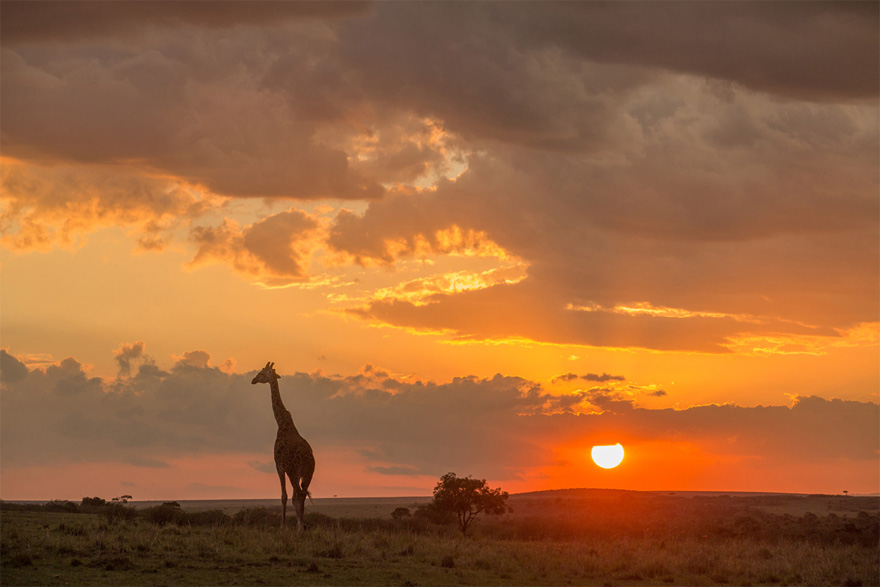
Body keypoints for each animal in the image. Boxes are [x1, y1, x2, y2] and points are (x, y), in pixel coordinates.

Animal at [249, 360, 314, 532]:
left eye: (262, 373)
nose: (253, 380)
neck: (282, 423)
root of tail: (306, 457)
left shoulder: (279, 465)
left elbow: (284, 496)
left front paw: (282, 526)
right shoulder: (292, 471)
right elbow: (290, 497)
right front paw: (294, 524)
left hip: (293, 471)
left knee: (298, 494)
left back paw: (300, 527)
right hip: (308, 473)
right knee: (302, 493)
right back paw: (301, 525)